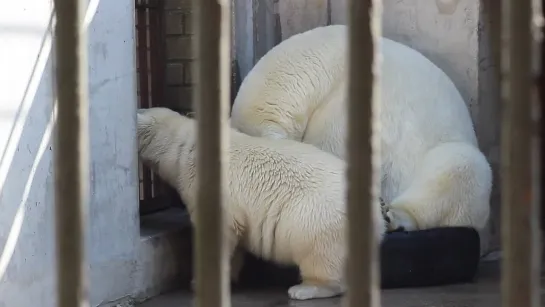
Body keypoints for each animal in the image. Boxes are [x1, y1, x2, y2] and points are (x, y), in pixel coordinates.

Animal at [134, 107, 384, 300]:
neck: (187, 148)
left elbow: (219, 230)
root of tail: (377, 215)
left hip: (316, 219)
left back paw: (304, 289)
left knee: (320, 255)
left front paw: (198, 282)